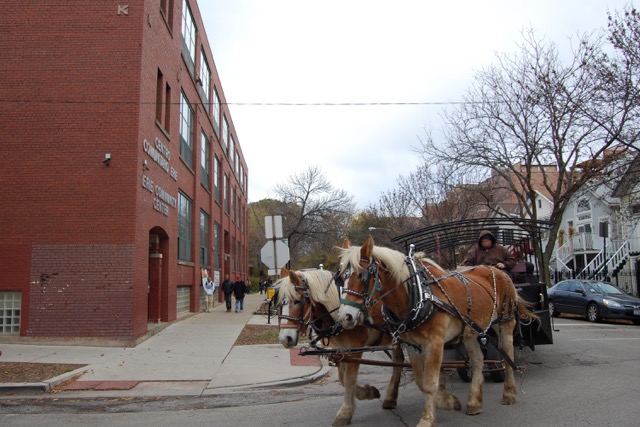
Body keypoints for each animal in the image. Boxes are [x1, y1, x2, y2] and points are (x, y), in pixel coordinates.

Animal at [276, 270, 404, 426]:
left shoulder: (355, 348)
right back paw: (390, 398)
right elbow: (342, 379)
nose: (285, 338)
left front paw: (345, 413)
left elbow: (349, 379)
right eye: (279, 303)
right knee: (399, 360)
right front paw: (368, 392)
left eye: (297, 301)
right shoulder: (340, 349)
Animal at [338, 237, 536, 427]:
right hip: (471, 330)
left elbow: (429, 382)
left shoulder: (435, 342)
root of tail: (497, 270)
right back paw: (474, 402)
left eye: (362, 275)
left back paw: (509, 394)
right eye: (340, 277)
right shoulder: (412, 346)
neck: (417, 293)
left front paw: (427, 418)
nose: (345, 317)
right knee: (478, 360)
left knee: (507, 356)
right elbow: (420, 380)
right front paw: (447, 401)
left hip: (505, 323)